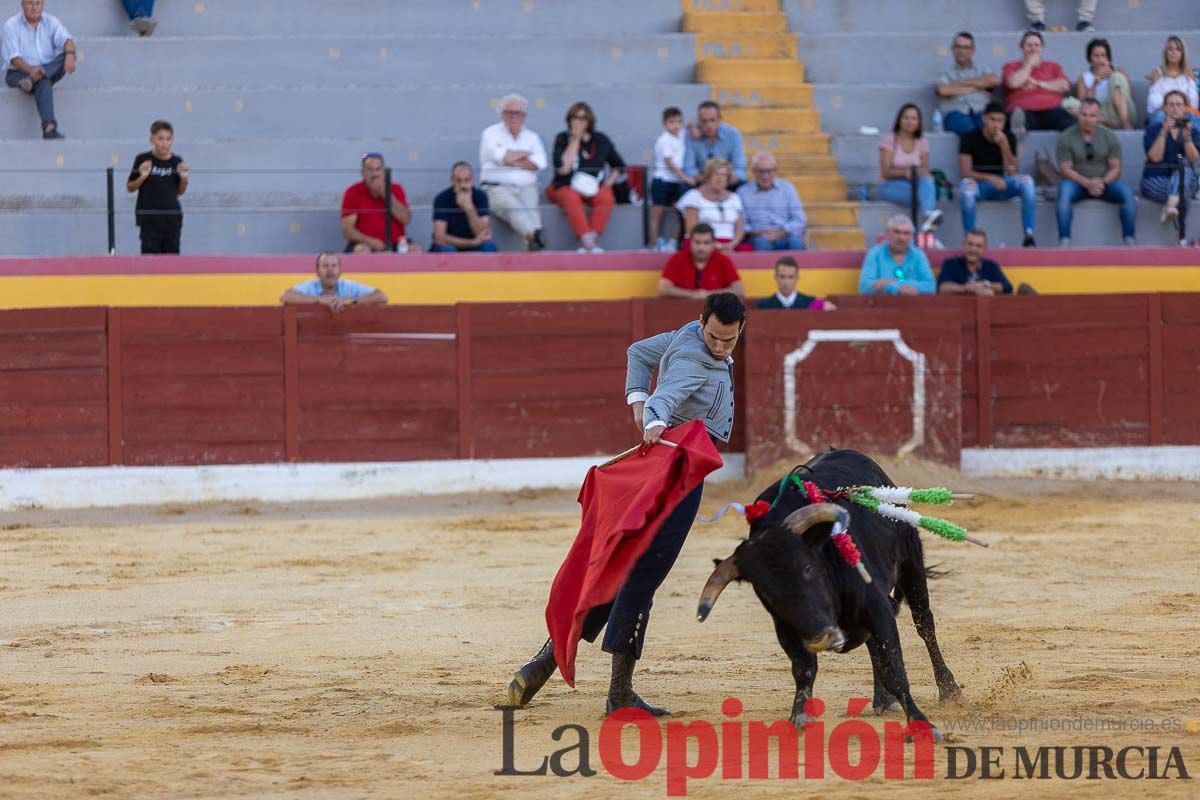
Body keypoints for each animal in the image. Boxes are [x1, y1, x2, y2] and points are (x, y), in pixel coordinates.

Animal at [700, 448, 960, 743]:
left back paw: (949, 689)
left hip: (911, 561)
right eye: (766, 591)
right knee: (874, 644)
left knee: (924, 623)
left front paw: (920, 724)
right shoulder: (788, 628)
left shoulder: (876, 607)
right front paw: (798, 719)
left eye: (807, 568)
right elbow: (804, 669)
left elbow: (894, 667)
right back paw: (882, 700)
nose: (821, 637)